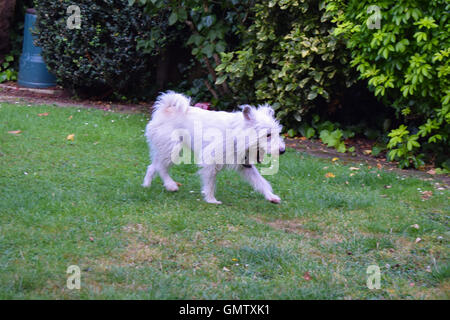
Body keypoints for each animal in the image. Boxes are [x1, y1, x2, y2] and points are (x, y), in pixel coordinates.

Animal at [142, 91, 286, 204]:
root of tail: (165, 108)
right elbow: (210, 182)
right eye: (268, 135)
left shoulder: (245, 165)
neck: (235, 133)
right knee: (161, 167)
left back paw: (146, 185)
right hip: (171, 150)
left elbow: (261, 181)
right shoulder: (210, 161)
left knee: (153, 166)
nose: (283, 151)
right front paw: (211, 199)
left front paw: (271, 197)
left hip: (164, 149)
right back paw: (171, 185)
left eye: (278, 133)